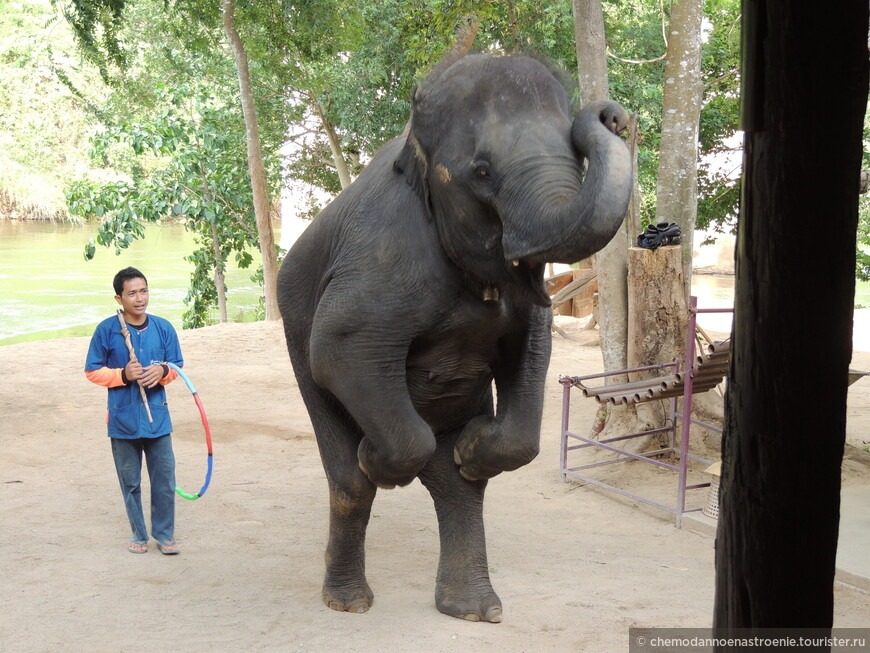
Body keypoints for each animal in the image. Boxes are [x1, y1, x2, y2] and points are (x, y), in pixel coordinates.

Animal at [280, 54, 632, 620]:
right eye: (482, 172)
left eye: (575, 157)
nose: (611, 115)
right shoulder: (385, 253)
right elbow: (338, 347)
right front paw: (377, 460)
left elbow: (532, 350)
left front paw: (474, 445)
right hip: (294, 329)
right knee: (349, 478)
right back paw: (350, 599)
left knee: (457, 486)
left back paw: (474, 606)